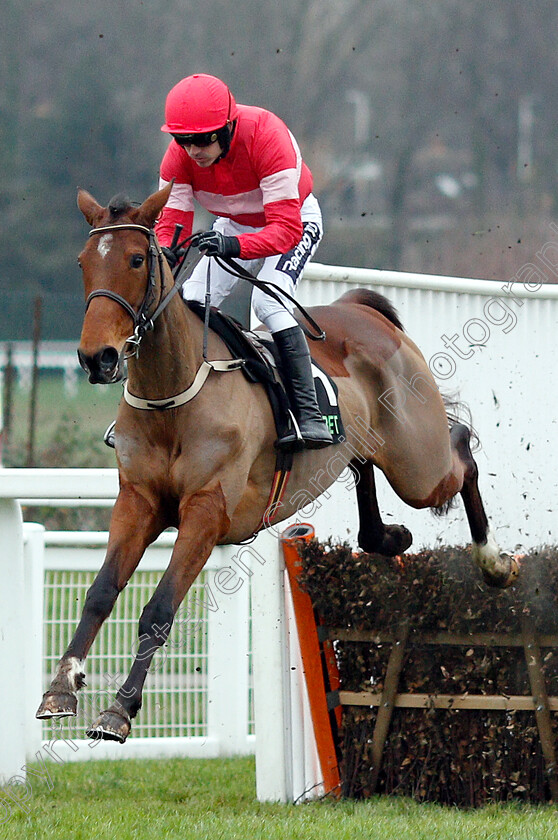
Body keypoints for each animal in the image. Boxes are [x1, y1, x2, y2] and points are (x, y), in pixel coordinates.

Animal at [37, 184, 520, 740]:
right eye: (83, 263)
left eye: (137, 259)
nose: (97, 358)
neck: (172, 395)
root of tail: (365, 312)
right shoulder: (138, 501)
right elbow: (100, 592)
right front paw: (60, 688)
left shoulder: (207, 512)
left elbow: (158, 608)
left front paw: (119, 710)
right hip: (368, 448)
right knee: (367, 479)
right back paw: (391, 537)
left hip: (419, 467)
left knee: (460, 449)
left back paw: (494, 563)